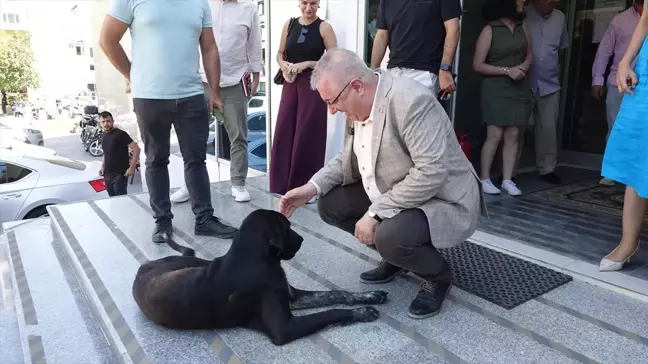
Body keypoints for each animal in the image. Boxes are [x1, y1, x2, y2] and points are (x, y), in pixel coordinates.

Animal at [130, 209, 384, 346]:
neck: (256, 259)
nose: (302, 240)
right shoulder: (284, 328)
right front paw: (360, 312)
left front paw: (369, 296)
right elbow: (330, 312)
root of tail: (143, 268)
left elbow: (335, 294)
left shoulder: (292, 296)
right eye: (287, 227)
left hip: (198, 263)